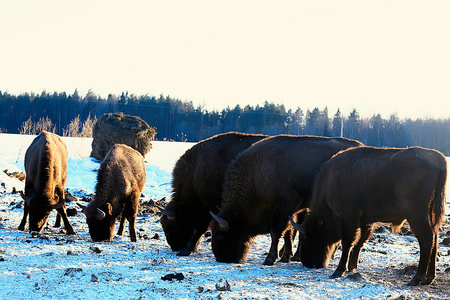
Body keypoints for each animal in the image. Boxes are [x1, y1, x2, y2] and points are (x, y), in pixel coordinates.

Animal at [210, 135, 362, 264]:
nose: (220, 258)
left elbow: (276, 232)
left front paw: (270, 259)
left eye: (219, 235)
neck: (258, 174)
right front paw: (285, 257)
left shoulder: (284, 206)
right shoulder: (291, 211)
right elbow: (288, 233)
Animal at [290, 145, 448, 286]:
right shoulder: (364, 221)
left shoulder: (349, 217)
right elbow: (359, 242)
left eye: (304, 237)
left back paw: (416, 279)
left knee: (427, 240)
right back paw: (429, 278)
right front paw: (351, 268)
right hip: (430, 214)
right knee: (434, 238)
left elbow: (348, 243)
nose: (308, 263)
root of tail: (436, 156)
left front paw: (338, 271)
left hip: (416, 215)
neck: (331, 180)